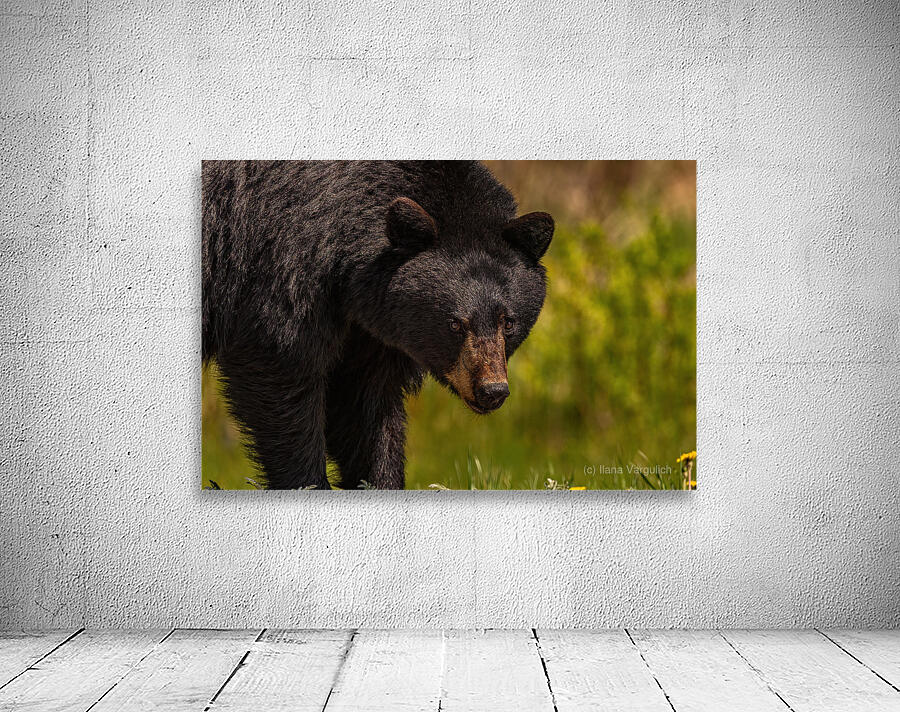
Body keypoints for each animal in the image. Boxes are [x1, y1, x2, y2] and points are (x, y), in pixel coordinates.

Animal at [202, 160, 554, 489]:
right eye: (455, 324)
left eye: (508, 322)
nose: (492, 390)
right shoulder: (280, 266)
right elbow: (280, 365)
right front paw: (307, 481)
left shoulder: (373, 324)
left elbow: (365, 402)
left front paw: (380, 479)